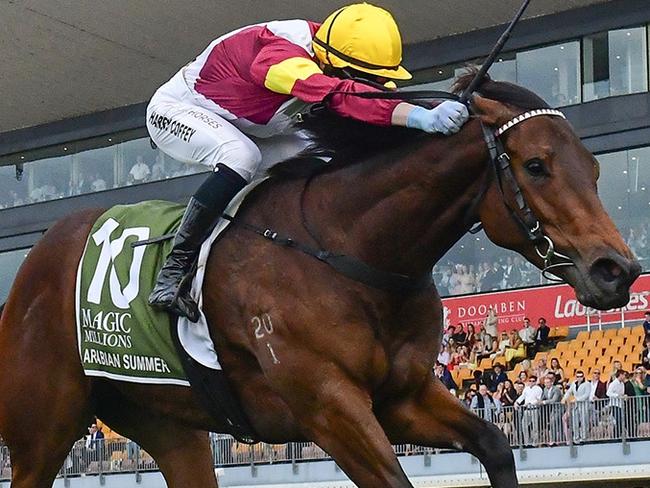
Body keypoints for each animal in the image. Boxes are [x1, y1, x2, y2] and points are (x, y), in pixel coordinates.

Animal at [0, 73, 636, 488]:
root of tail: (37, 259)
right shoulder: (328, 405)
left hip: (167, 425)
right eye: (537, 166)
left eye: (594, 167)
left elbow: (497, 446)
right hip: (41, 434)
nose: (619, 270)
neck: (348, 249)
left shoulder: (402, 397)